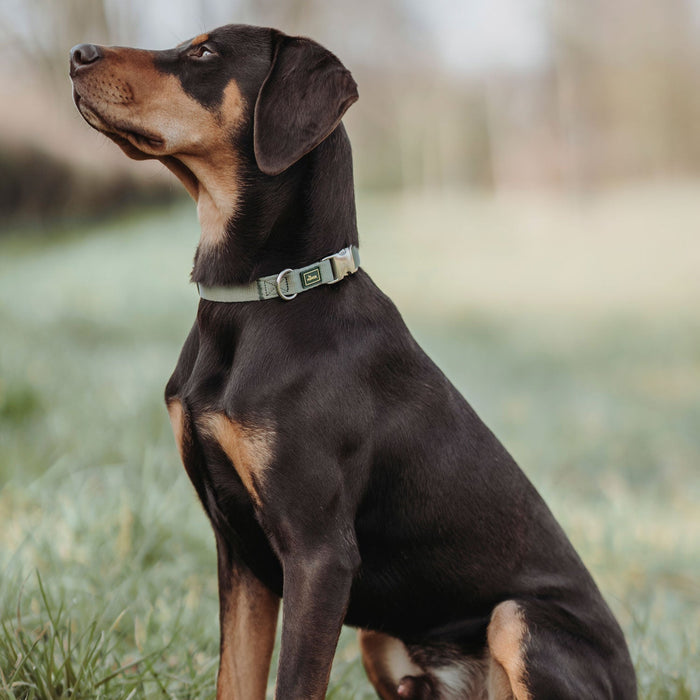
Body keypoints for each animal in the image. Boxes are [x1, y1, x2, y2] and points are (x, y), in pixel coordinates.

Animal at [69, 23, 636, 700]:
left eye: (205, 52)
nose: (77, 55)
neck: (263, 299)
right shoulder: (241, 552)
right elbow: (235, 679)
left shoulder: (319, 555)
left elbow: (293, 683)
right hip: (379, 637)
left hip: (516, 617)